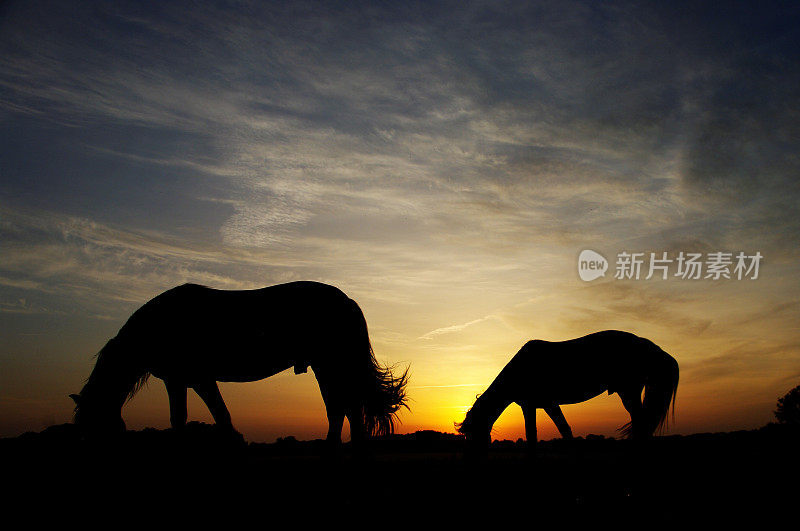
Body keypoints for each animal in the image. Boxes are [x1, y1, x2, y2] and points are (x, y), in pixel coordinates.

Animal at [460, 332, 680, 454]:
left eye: (471, 435)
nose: (470, 458)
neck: (519, 370)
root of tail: (648, 345)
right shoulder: (544, 405)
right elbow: (563, 430)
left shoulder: (536, 405)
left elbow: (534, 434)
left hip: (629, 391)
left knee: (642, 423)